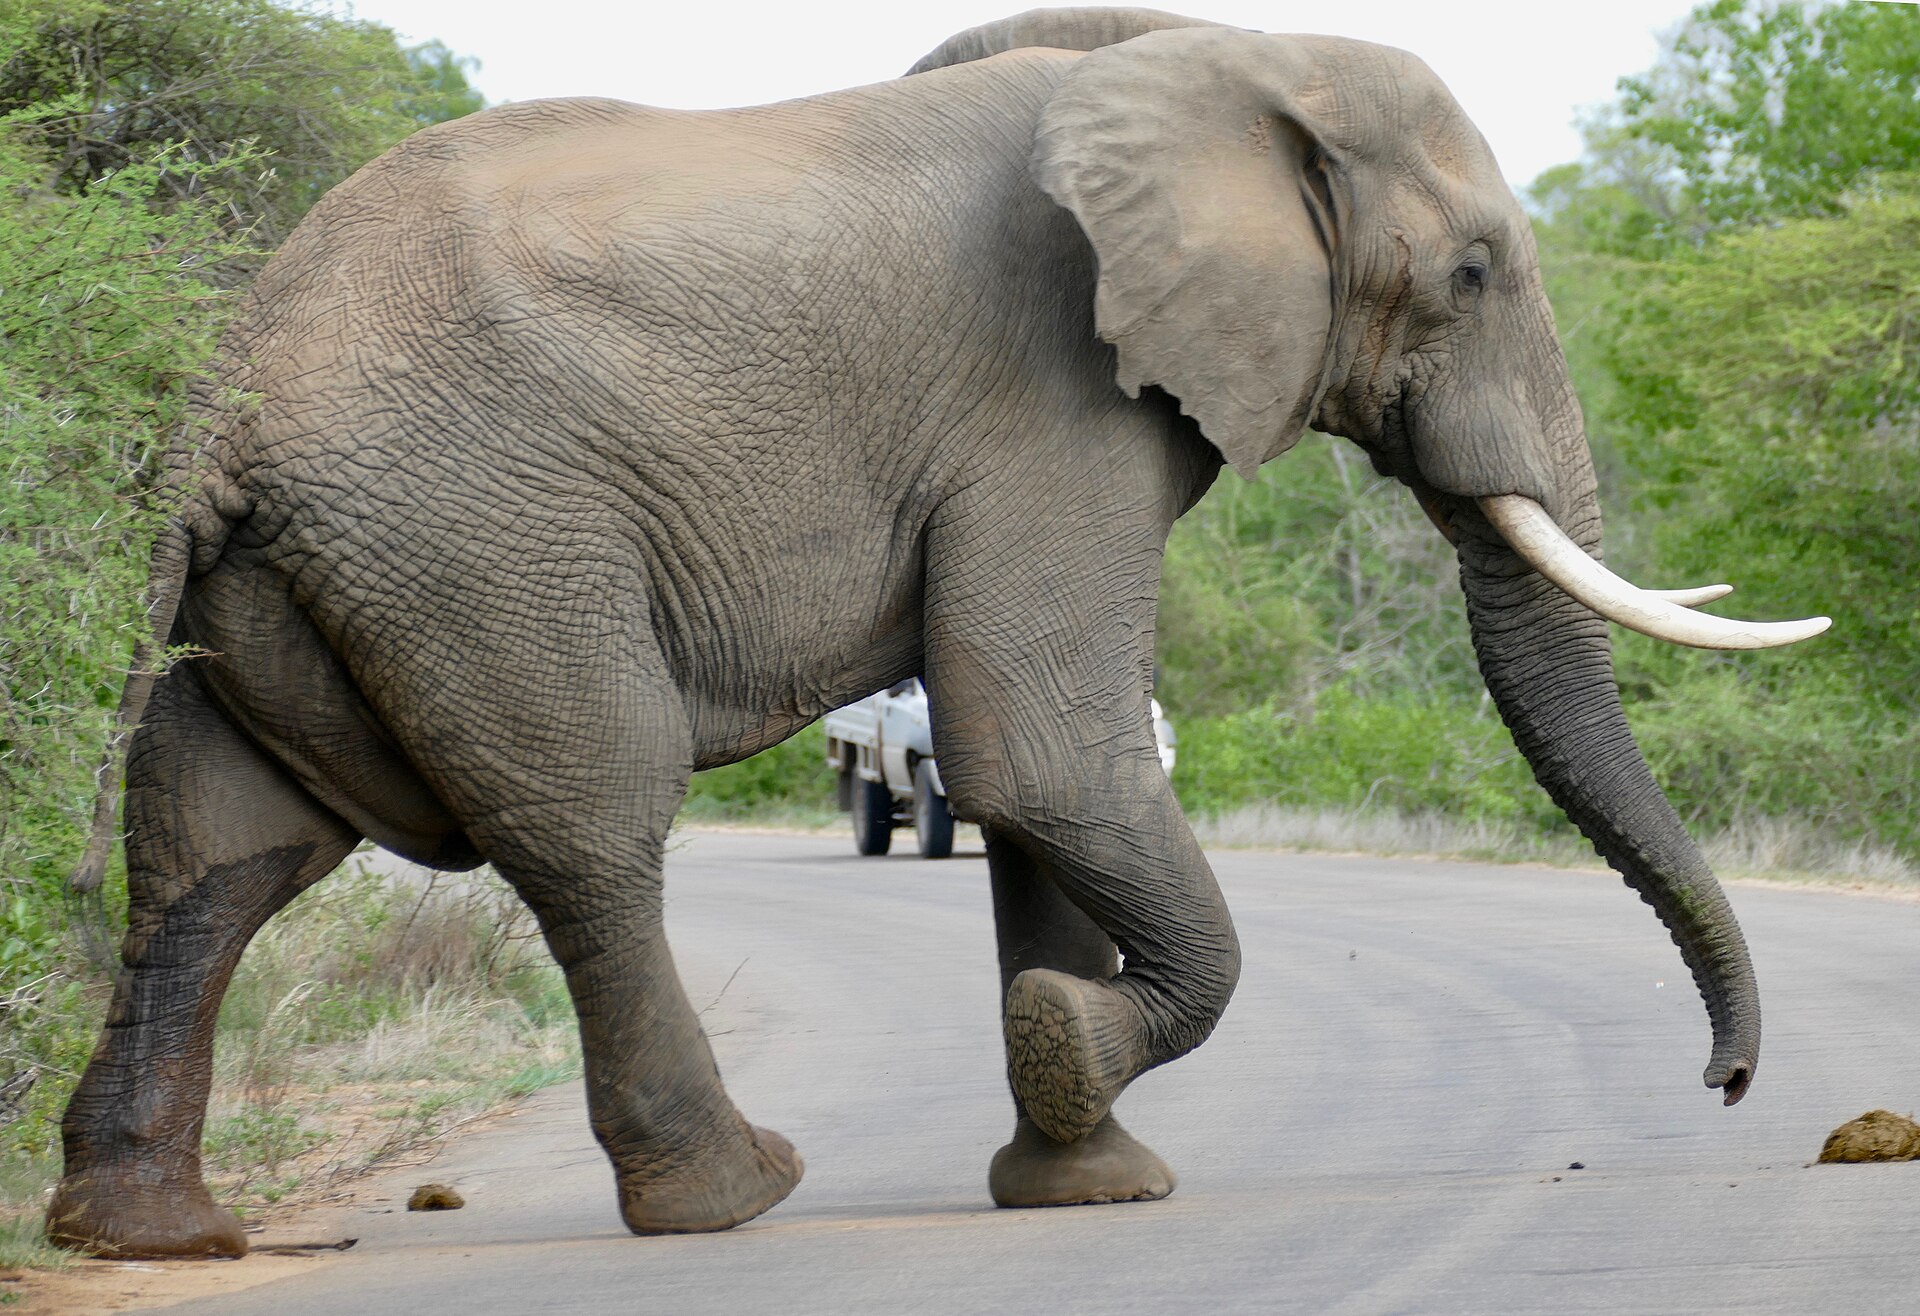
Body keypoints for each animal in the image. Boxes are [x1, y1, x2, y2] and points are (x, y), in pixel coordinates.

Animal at [48, 6, 1828, 1258]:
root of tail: (219, 409)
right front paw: (1072, 1053)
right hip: (482, 541)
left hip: (286, 580)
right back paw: (735, 1196)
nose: (1729, 1089)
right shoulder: (1055, 400)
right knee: (590, 827)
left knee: (217, 856)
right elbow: (1044, 757)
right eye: (1470, 272)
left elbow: (1037, 792)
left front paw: (1086, 1181)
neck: (1224, 58)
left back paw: (143, 1236)